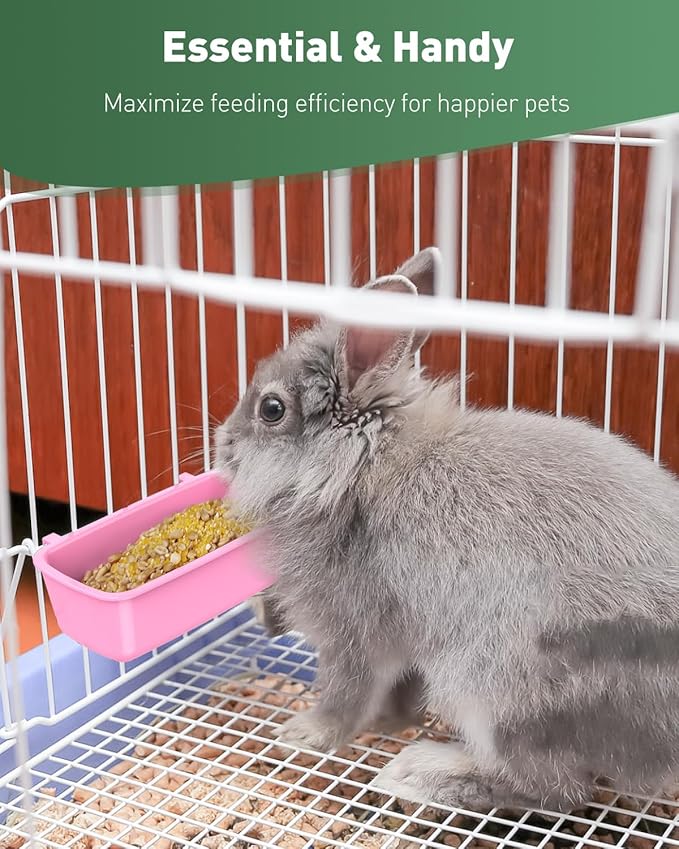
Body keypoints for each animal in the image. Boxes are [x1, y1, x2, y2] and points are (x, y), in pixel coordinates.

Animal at [214, 246, 679, 813]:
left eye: (272, 409)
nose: (222, 444)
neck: (357, 469)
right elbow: (396, 694)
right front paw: (389, 722)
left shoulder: (353, 629)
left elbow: (347, 692)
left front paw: (304, 733)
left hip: (491, 685)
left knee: (556, 790)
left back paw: (420, 773)